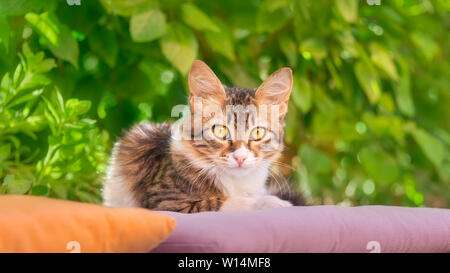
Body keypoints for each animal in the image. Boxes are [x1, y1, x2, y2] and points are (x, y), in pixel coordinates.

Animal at [102, 60, 306, 212]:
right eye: (221, 131)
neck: (237, 183)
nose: (240, 157)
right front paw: (273, 202)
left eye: (257, 132)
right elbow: (222, 201)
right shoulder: (167, 201)